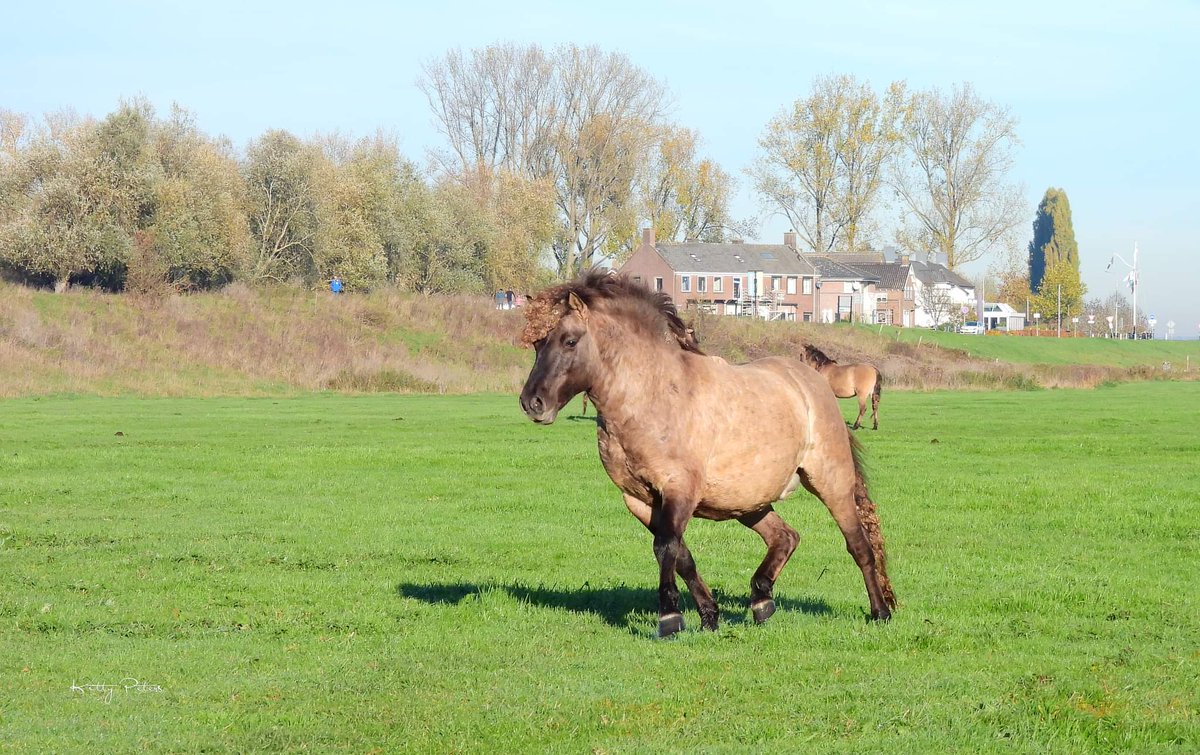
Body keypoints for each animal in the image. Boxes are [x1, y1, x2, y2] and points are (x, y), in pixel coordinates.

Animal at [518, 271, 895, 637]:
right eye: (537, 344)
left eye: (569, 341)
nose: (532, 403)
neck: (652, 395)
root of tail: (813, 383)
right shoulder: (640, 499)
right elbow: (680, 554)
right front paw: (709, 616)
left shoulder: (679, 490)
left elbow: (665, 548)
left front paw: (669, 617)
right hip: (747, 500)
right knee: (785, 537)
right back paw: (761, 599)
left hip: (831, 483)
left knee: (858, 545)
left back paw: (880, 611)